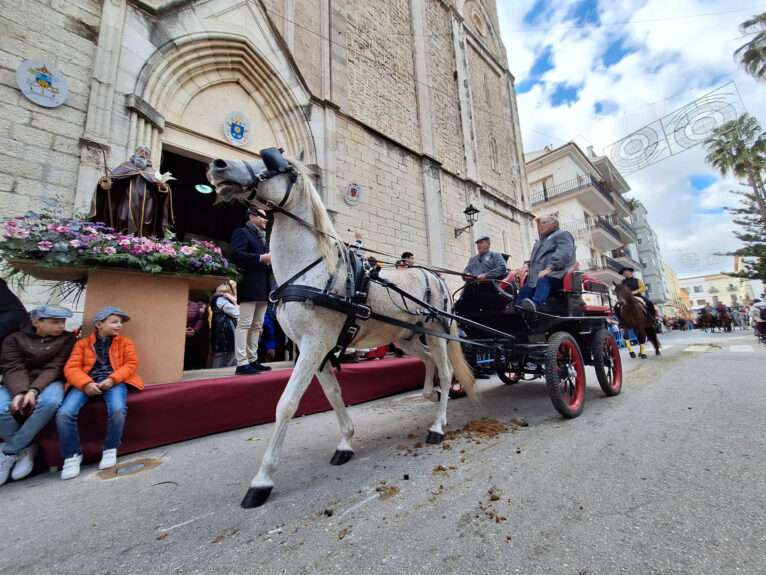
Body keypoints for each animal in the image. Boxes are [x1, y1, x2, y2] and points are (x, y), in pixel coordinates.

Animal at [207, 147, 476, 508]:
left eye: (273, 162)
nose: (218, 165)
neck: (313, 271)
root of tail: (434, 275)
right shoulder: (313, 347)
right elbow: (334, 395)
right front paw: (346, 442)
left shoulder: (314, 344)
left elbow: (287, 404)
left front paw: (262, 480)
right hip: (405, 337)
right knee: (429, 362)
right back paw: (429, 394)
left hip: (436, 333)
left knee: (446, 372)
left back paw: (437, 425)